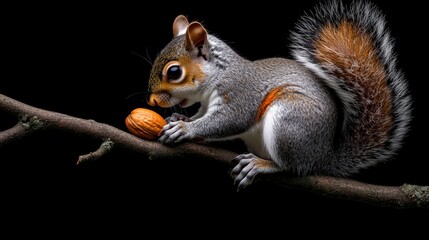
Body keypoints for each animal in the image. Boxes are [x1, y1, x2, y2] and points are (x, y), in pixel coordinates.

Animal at [146, 0, 412, 191]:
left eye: (174, 72)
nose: (152, 100)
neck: (220, 75)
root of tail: (321, 157)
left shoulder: (240, 93)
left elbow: (228, 121)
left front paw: (185, 129)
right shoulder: (205, 105)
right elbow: (202, 116)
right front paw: (180, 119)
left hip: (289, 121)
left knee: (293, 167)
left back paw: (261, 164)